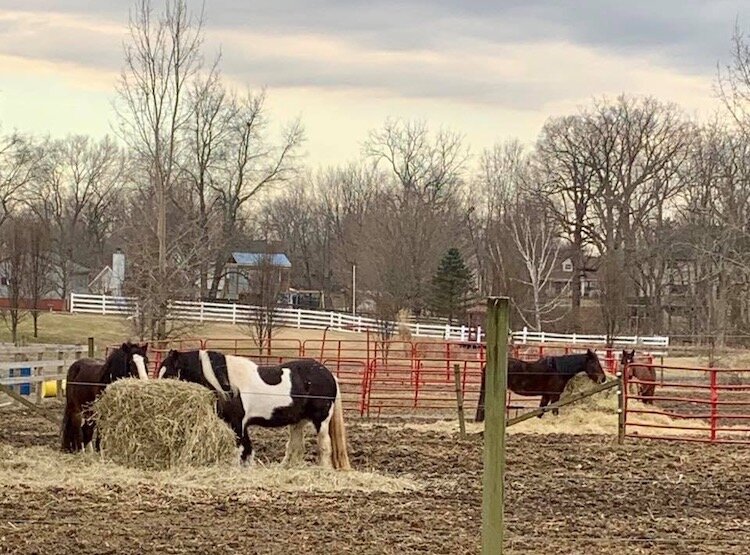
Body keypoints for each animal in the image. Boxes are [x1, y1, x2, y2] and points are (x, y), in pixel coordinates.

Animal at [159, 350, 352, 472]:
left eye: (168, 373)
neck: (226, 383)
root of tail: (329, 375)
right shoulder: (242, 425)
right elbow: (247, 450)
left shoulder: (237, 423)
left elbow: (239, 449)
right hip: (298, 421)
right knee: (295, 447)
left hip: (321, 421)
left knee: (324, 445)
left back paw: (324, 469)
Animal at [476, 350, 612, 424]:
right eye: (594, 362)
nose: (603, 378)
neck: (558, 370)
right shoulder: (555, 396)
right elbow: (554, 411)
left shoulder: (546, 395)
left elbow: (540, 412)